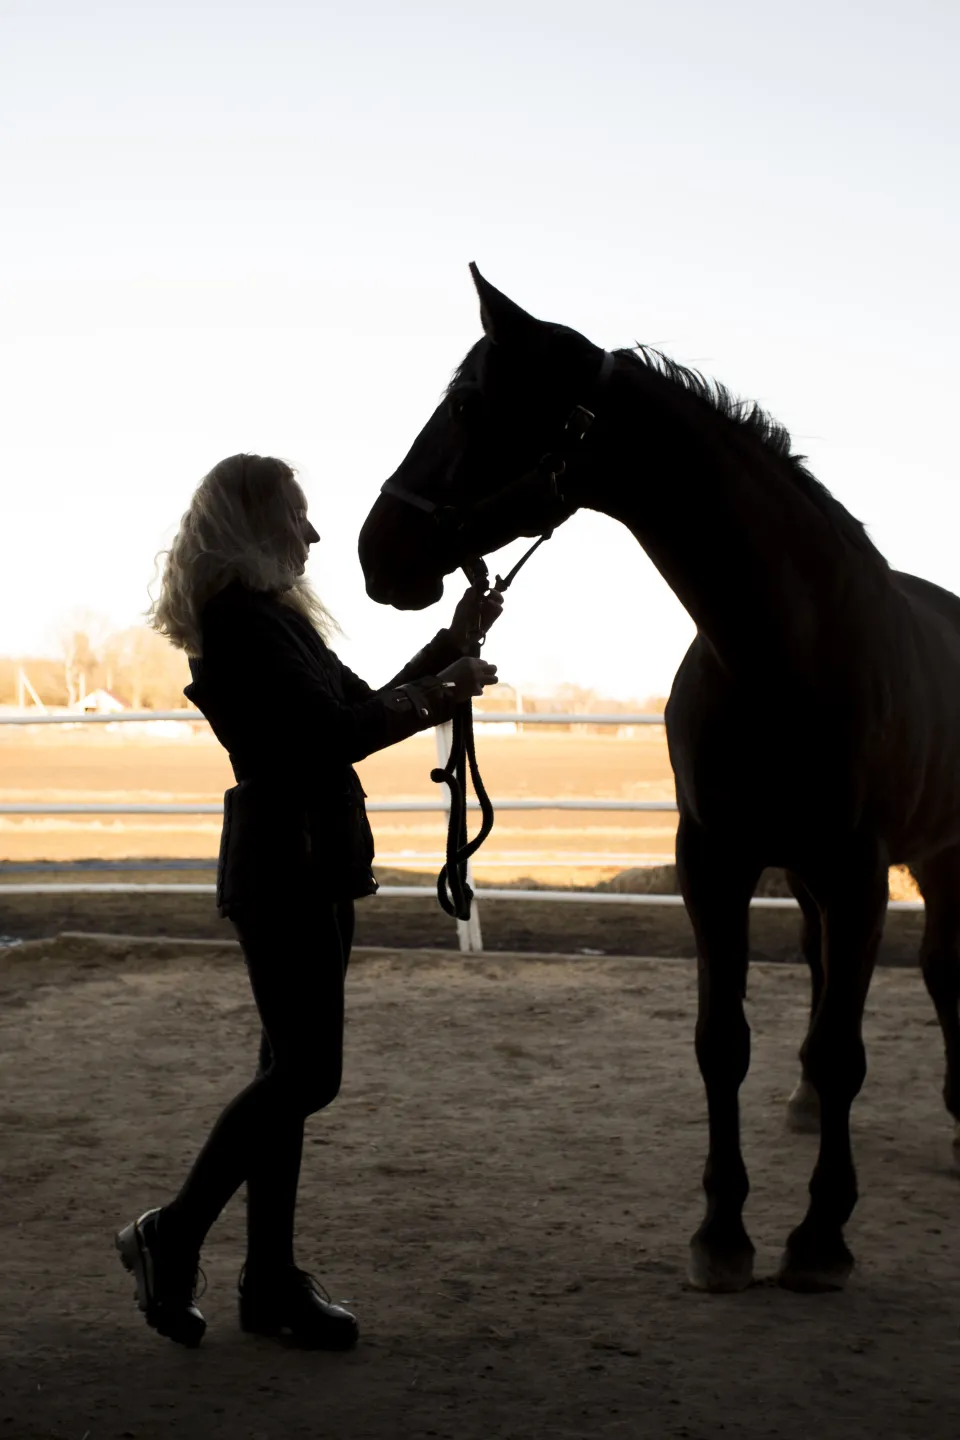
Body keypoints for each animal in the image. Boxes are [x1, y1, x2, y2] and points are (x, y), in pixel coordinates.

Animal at [357, 264, 960, 1294]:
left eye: (469, 403)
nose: (374, 549)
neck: (782, 656)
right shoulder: (715, 862)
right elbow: (723, 1044)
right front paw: (723, 1231)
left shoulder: (860, 873)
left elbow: (848, 1049)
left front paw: (820, 1237)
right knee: (823, 973)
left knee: (942, 971)